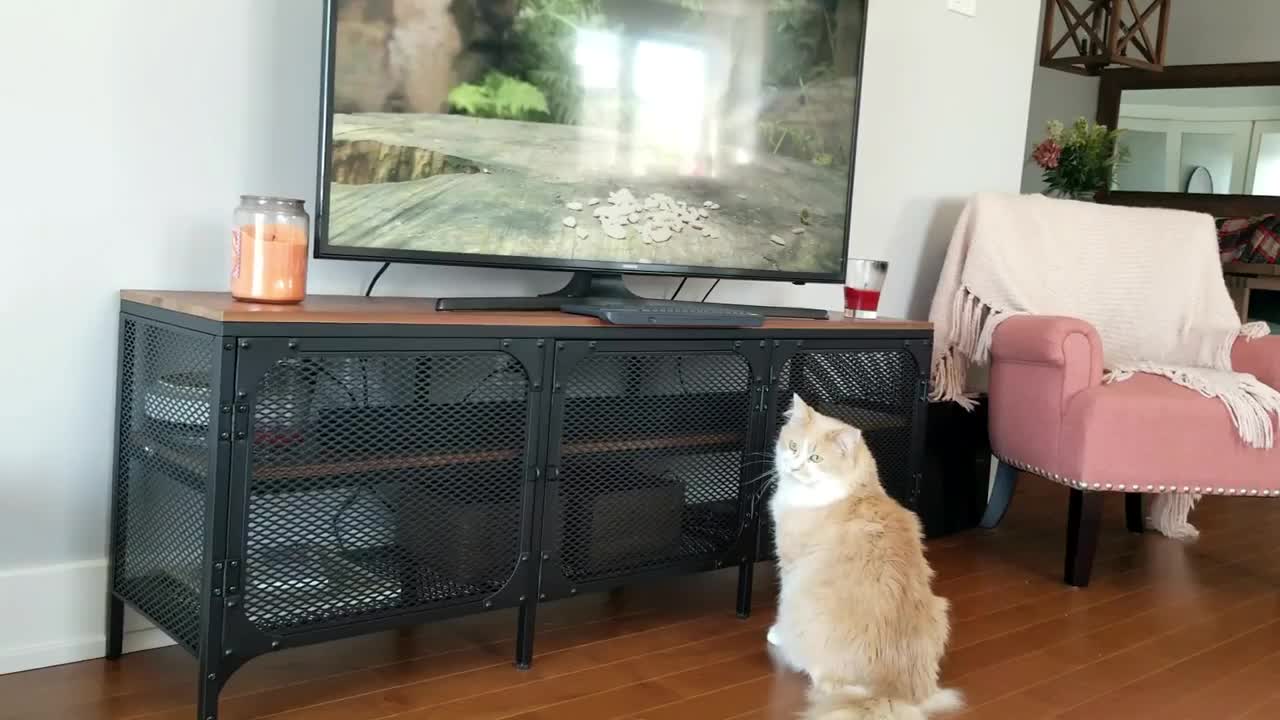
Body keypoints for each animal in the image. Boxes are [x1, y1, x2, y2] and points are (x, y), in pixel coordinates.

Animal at [768, 394, 962, 712]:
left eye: (815, 459)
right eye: (794, 447)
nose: (794, 467)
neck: (856, 490)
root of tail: (891, 690)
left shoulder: (789, 564)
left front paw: (776, 633)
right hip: (941, 608)